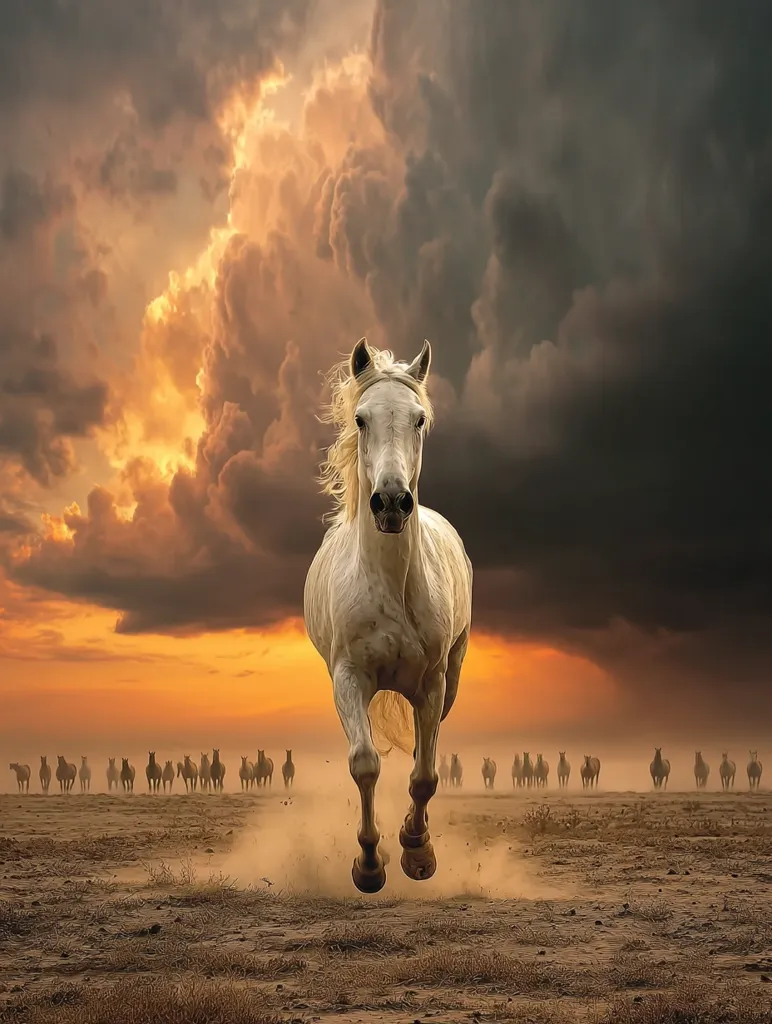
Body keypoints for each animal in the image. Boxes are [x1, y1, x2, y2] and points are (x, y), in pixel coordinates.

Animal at [304, 340, 473, 894]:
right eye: (361, 419)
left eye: (419, 419)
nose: (393, 502)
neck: (391, 586)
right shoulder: (348, 678)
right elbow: (365, 764)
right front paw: (369, 865)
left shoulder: (432, 683)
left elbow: (424, 775)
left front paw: (417, 852)